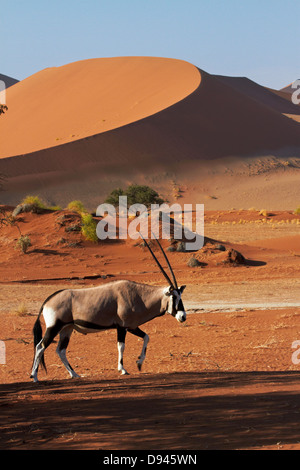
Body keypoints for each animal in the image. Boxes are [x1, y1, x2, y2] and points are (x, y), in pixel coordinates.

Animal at [30, 237, 185, 384]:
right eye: (173, 296)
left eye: (180, 295)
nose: (183, 316)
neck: (138, 295)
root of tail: (47, 301)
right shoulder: (121, 327)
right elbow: (121, 346)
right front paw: (123, 369)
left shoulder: (131, 326)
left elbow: (146, 337)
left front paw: (139, 362)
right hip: (54, 327)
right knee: (40, 346)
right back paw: (34, 376)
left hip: (66, 329)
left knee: (60, 350)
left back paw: (74, 374)